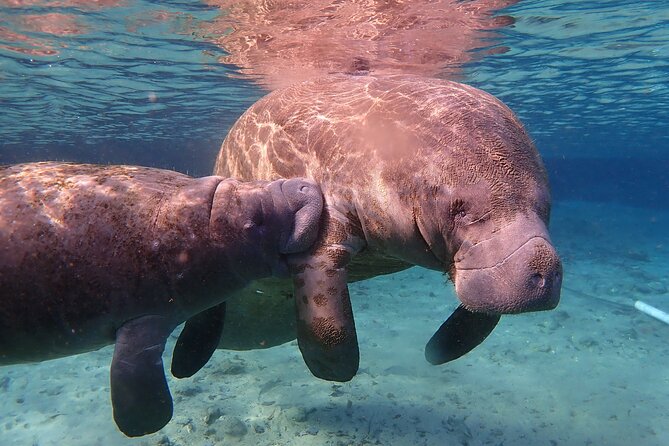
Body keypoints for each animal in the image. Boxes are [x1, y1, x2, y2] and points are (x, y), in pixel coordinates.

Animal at [0, 162, 324, 438]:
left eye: (242, 182)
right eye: (256, 223)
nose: (304, 186)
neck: (210, 222)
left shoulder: (208, 296)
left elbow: (203, 334)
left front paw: (182, 368)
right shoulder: (145, 316)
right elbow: (133, 375)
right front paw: (143, 426)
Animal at [206, 75, 560, 382]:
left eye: (545, 207)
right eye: (458, 209)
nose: (543, 269)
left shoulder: (482, 266)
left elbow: (482, 311)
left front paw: (436, 353)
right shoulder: (321, 223)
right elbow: (328, 321)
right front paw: (336, 371)